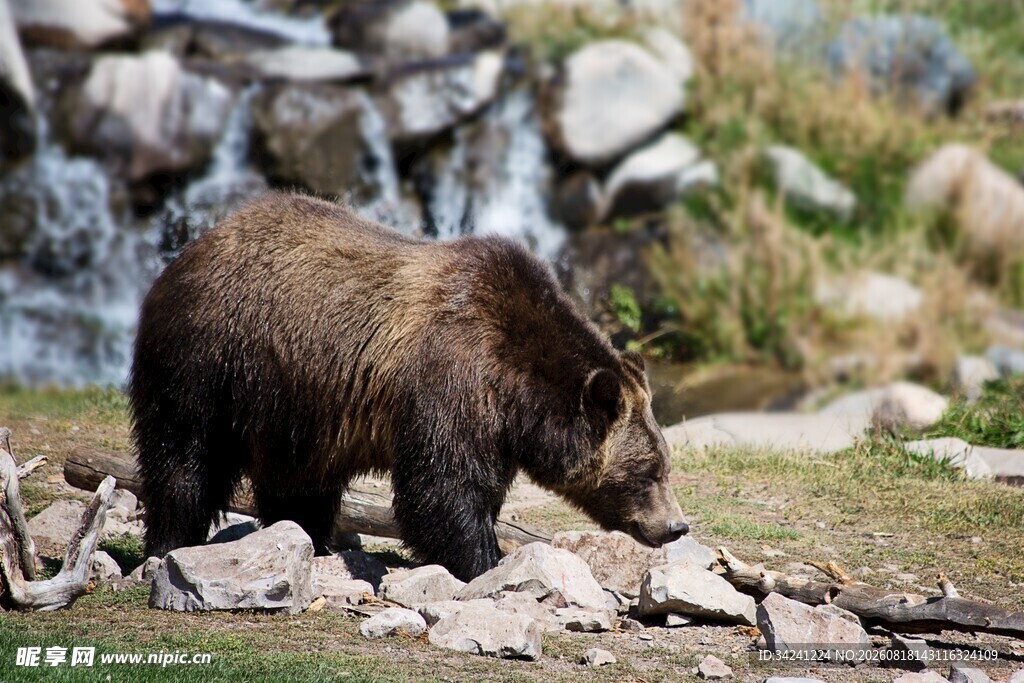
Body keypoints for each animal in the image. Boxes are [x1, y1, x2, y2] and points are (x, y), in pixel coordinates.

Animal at [129, 192, 688, 581]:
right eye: (649, 471)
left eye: (664, 464)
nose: (676, 526)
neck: (516, 389)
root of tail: (190, 249)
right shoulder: (452, 377)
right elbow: (442, 488)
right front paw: (484, 561)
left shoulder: (494, 426)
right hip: (211, 358)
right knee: (185, 456)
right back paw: (169, 543)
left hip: (294, 403)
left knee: (298, 479)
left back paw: (310, 538)